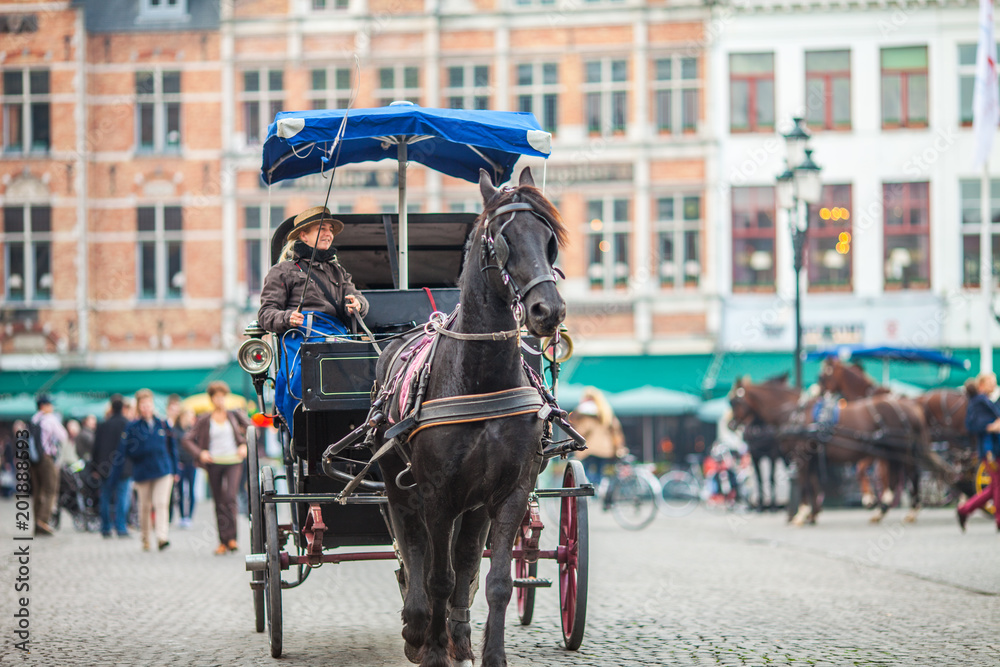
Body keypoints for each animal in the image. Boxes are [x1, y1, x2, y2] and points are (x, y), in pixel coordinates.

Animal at [372, 170, 568, 667]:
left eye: (550, 240)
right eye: (502, 239)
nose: (549, 311)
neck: (480, 379)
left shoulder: (510, 491)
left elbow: (496, 582)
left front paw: (489, 653)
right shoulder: (437, 493)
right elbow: (436, 576)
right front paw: (432, 648)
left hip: (475, 503)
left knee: (463, 558)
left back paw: (457, 634)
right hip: (400, 484)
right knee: (414, 547)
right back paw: (418, 626)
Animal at [728, 376, 952, 528]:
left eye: (733, 401)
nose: (730, 424)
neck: (794, 413)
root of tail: (910, 405)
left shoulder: (801, 458)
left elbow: (804, 484)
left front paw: (802, 514)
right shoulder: (811, 459)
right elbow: (813, 485)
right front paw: (812, 514)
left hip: (899, 450)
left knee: (910, 475)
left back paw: (907, 510)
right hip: (889, 452)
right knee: (897, 477)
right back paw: (883, 510)